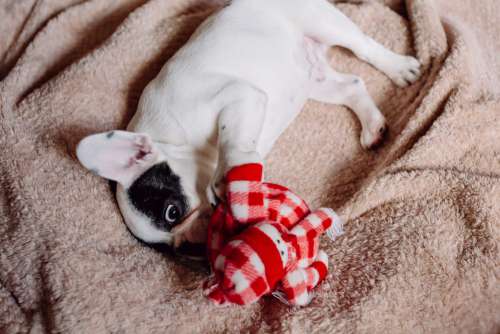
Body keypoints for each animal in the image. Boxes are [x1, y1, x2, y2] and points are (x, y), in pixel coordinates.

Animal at [77, 0, 422, 258]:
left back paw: (399, 67)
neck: (171, 137)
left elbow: (230, 136)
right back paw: (373, 127)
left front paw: (228, 176)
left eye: (172, 212)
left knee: (363, 46)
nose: (195, 242)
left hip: (322, 21)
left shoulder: (238, 95)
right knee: (352, 85)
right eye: (179, 248)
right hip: (313, 81)